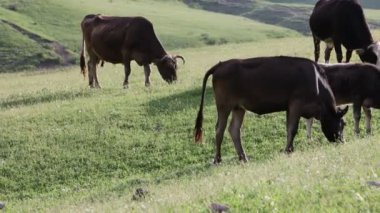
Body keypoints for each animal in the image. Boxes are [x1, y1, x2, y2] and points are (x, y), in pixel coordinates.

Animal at [194, 56, 348, 163]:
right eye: (343, 123)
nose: (342, 141)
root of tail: (221, 64)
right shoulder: (296, 103)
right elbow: (293, 129)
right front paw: (288, 150)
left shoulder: (289, 107)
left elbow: (289, 129)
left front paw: (289, 149)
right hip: (224, 106)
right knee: (219, 129)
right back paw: (218, 159)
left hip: (238, 108)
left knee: (234, 129)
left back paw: (243, 158)